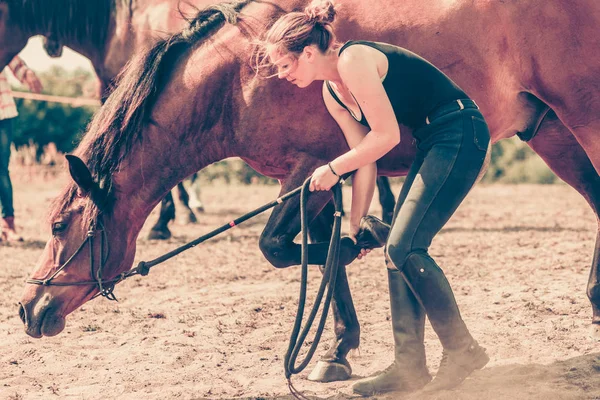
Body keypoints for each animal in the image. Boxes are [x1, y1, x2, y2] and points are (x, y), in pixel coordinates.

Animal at [16, 0, 596, 382]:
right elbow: (319, 254)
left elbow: (278, 248)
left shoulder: (310, 172)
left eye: (59, 225)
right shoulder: (310, 179)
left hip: (581, 116)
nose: (27, 309)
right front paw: (336, 348)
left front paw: (362, 248)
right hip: (550, 131)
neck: (240, 80)